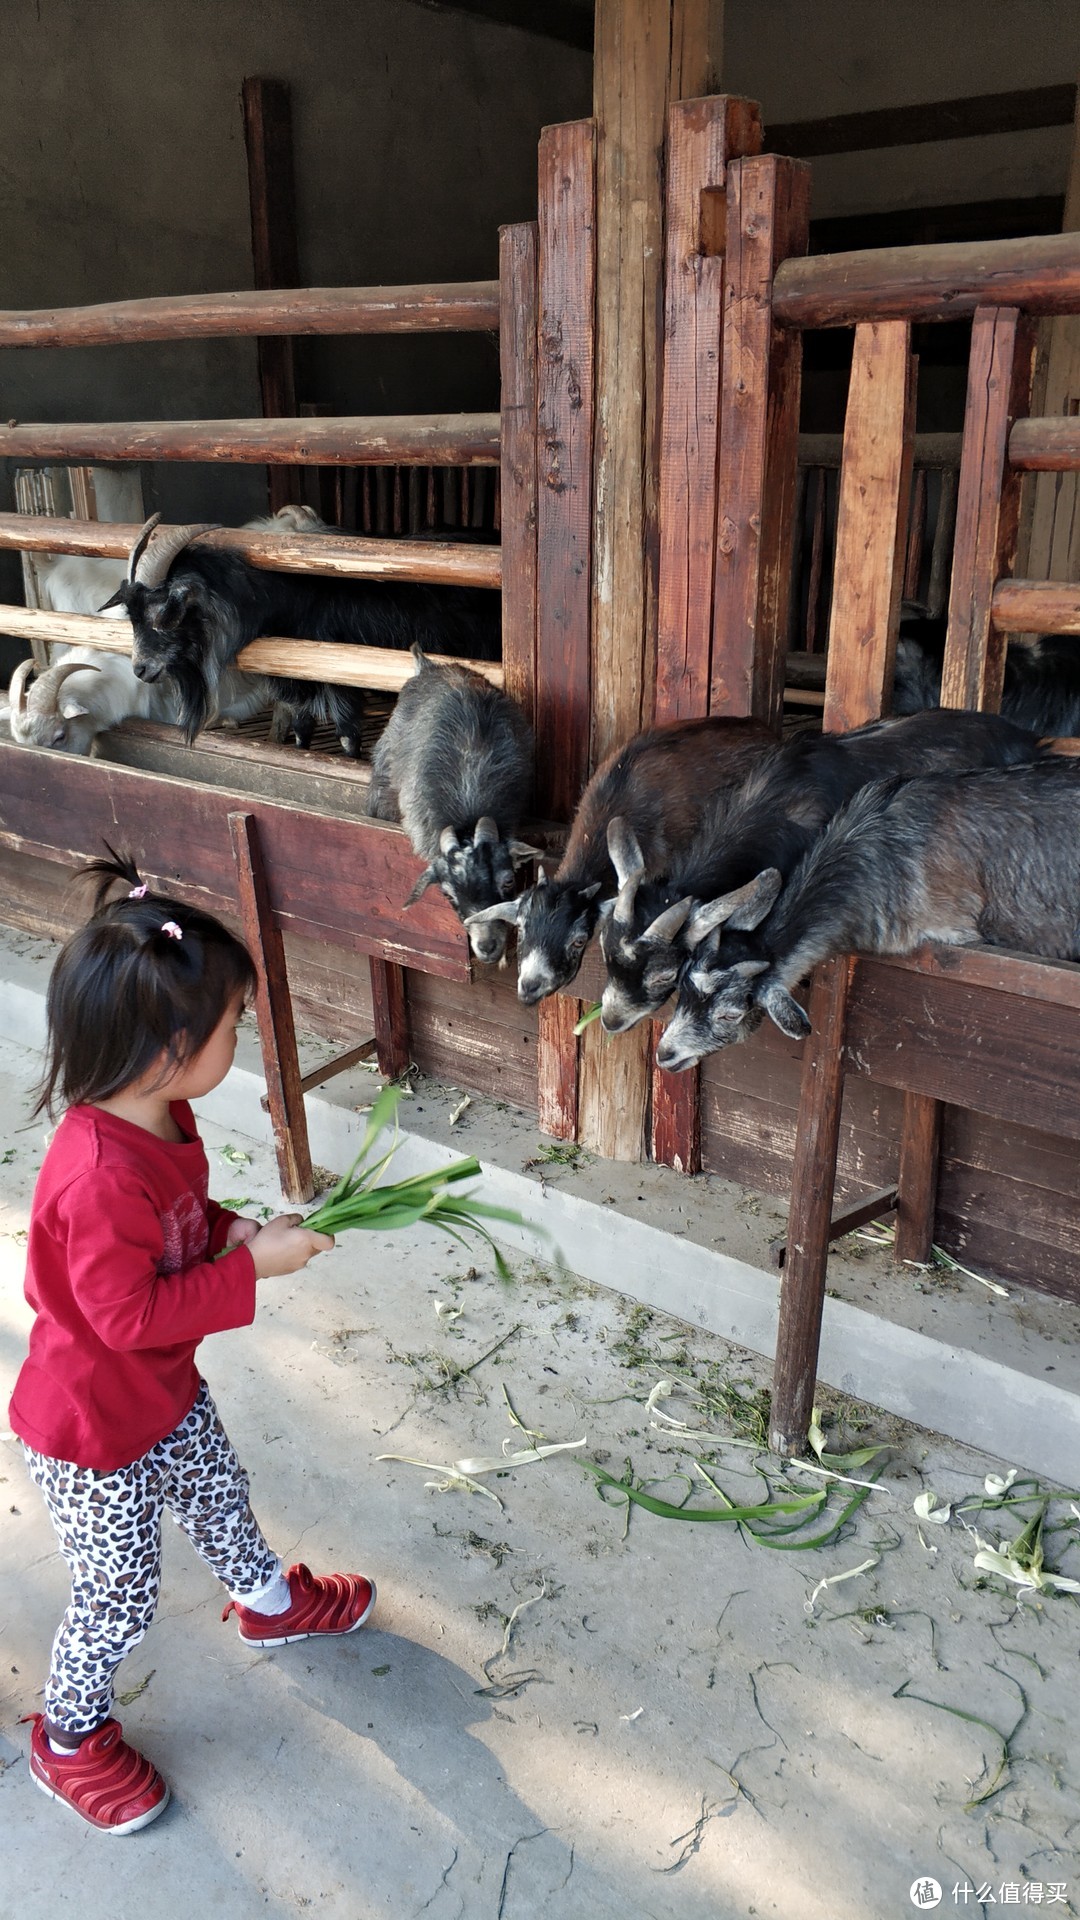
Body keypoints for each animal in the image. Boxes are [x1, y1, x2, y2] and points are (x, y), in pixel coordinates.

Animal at [102, 514, 499, 752]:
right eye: (130, 615)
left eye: (163, 614)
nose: (140, 669)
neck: (286, 597)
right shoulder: (298, 685)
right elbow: (301, 731)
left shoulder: (341, 681)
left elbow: (347, 736)